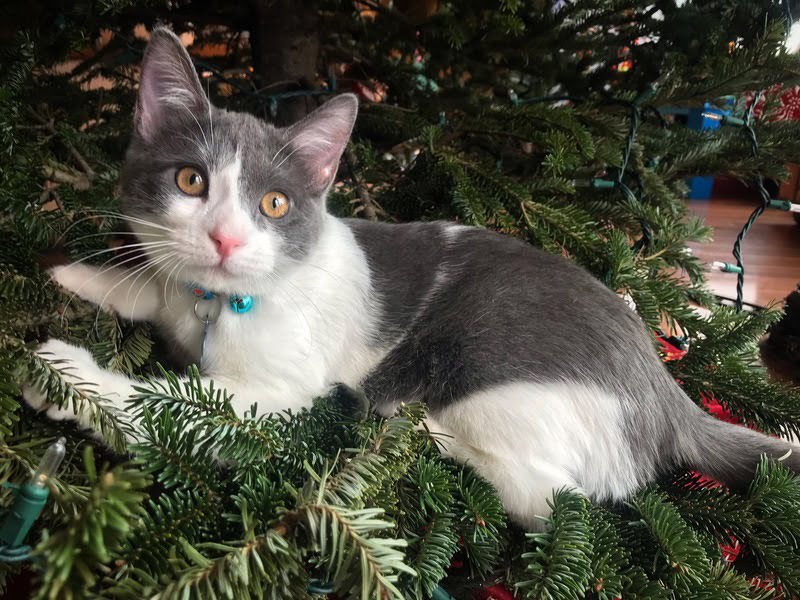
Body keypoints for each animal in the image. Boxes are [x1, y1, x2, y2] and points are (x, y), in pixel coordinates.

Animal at [25, 28, 800, 528]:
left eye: (273, 204)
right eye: (191, 180)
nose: (225, 237)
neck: (218, 302)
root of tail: (665, 392)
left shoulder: (278, 390)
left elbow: (184, 405)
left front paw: (70, 378)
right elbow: (151, 286)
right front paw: (75, 275)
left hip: (499, 375)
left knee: (552, 499)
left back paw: (404, 425)